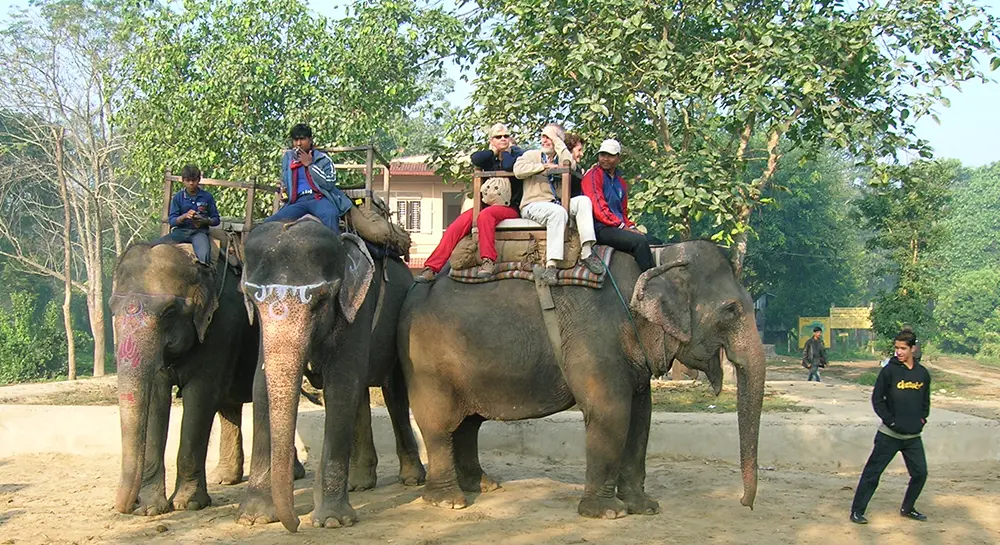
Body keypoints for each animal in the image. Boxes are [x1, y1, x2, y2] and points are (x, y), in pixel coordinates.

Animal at [111, 240, 266, 515]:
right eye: (111, 308)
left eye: (169, 311)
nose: (128, 506)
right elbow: (157, 399)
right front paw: (150, 509)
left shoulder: (221, 326)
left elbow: (200, 397)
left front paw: (188, 504)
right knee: (229, 405)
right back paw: (224, 479)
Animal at [236, 219, 425, 533]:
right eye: (252, 299)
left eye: (320, 302)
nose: (295, 524)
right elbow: (259, 386)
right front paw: (255, 517)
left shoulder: (356, 310)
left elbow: (341, 385)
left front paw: (332, 521)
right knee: (362, 396)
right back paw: (361, 484)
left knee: (395, 395)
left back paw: (411, 479)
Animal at [398, 240, 765, 518]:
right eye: (731, 310)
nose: (745, 504)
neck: (657, 260)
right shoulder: (594, 334)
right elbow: (611, 413)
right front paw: (608, 513)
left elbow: (641, 417)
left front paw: (645, 507)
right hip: (427, 362)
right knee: (439, 423)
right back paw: (449, 501)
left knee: (468, 424)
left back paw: (484, 485)